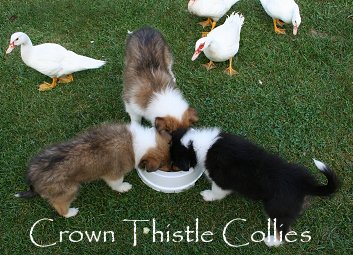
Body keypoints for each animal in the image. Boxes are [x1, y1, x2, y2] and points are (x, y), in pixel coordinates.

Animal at [15, 122, 170, 218]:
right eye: (164, 166)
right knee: (59, 206)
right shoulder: (114, 173)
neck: (136, 143)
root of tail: (33, 178)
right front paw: (124, 187)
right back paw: (71, 212)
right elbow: (116, 183)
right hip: (69, 189)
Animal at [170, 127, 338, 247]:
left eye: (174, 159)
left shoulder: (220, 180)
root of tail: (303, 184)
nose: (170, 167)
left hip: (275, 206)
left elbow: (216, 191)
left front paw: (207, 196)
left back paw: (272, 241)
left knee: (284, 229)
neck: (198, 143)